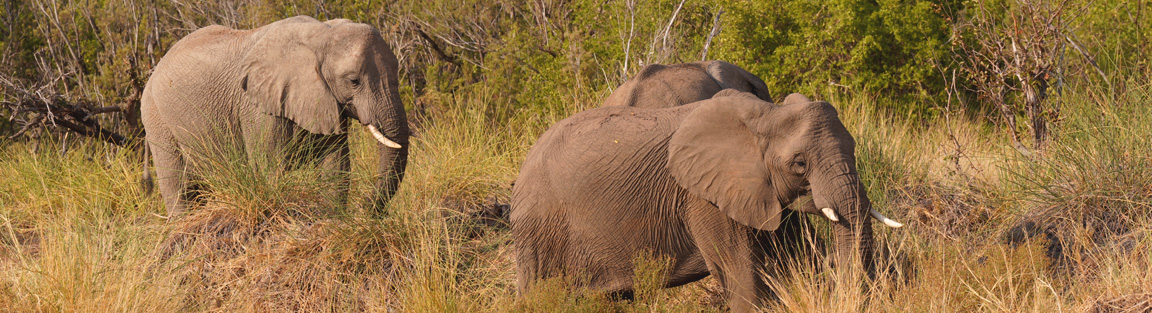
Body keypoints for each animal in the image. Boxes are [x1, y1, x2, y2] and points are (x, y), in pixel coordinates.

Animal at [141, 15, 410, 216]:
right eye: (354, 81)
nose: (366, 208)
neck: (322, 35)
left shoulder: (325, 100)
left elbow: (335, 165)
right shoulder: (257, 107)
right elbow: (271, 165)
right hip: (156, 118)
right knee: (178, 186)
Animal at [511, 89, 898, 310]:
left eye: (854, 147)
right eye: (800, 164)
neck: (765, 115)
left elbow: (792, 258)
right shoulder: (702, 198)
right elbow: (740, 272)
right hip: (541, 231)